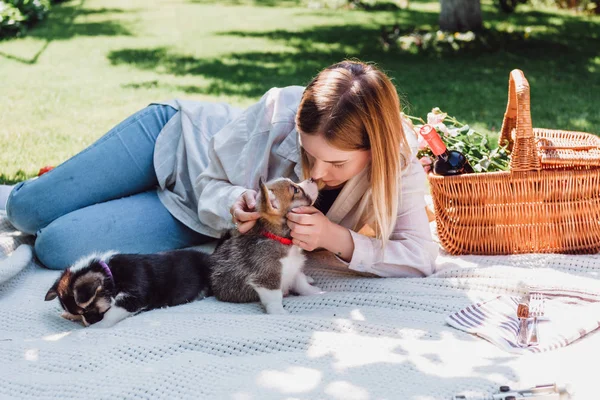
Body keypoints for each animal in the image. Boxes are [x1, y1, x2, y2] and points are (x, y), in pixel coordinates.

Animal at [43, 250, 211, 328]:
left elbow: (111, 312)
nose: (89, 323)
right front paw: (69, 315)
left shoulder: (133, 297)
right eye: (80, 313)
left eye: (87, 310)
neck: (110, 274)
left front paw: (97, 326)